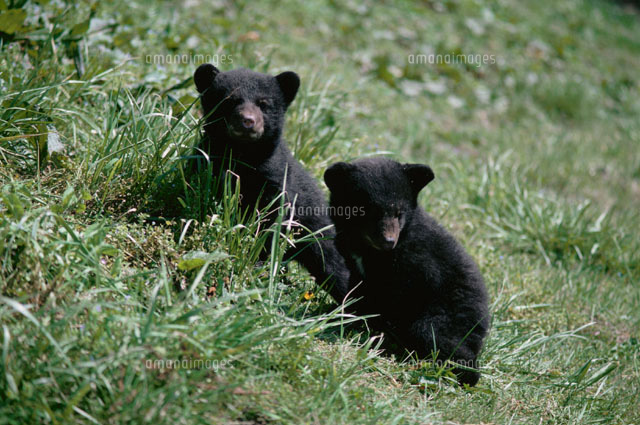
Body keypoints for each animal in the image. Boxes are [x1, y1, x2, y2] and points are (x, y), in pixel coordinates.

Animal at [192, 64, 350, 302]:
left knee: (332, 263)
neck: (244, 159)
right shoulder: (207, 164)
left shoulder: (276, 182)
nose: (248, 121)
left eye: (264, 103)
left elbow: (272, 222)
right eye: (229, 100)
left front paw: (258, 260)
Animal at [323, 157, 490, 386]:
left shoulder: (416, 258)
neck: (368, 250)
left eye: (399, 213)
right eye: (368, 211)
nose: (388, 241)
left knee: (436, 336)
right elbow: (359, 288)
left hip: (450, 313)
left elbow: (402, 290)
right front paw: (350, 314)